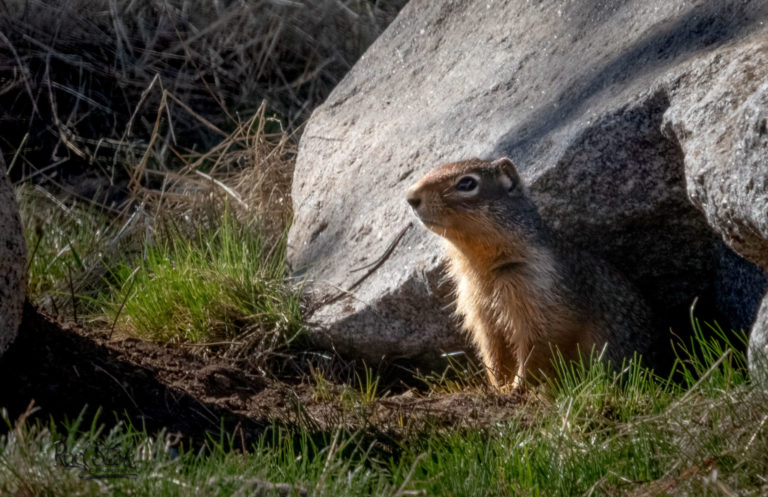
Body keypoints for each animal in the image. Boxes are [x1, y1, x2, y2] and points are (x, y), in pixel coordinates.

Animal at [408, 158, 656, 388]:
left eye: (467, 183)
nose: (411, 196)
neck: (482, 268)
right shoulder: (480, 312)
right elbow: (492, 350)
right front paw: (498, 387)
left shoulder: (539, 297)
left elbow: (537, 347)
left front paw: (517, 387)